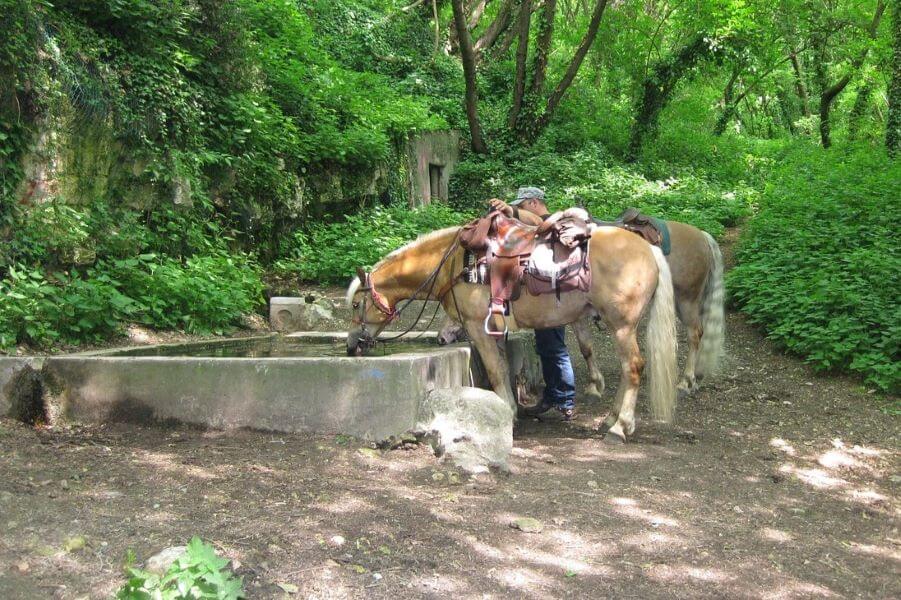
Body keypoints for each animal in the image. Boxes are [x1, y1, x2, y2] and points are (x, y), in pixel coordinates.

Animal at [348, 221, 680, 440]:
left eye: (355, 305)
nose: (352, 346)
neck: (456, 265)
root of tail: (648, 248)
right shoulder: (494, 331)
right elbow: (502, 367)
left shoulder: (477, 327)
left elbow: (495, 371)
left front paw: (507, 411)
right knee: (627, 370)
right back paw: (610, 419)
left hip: (622, 325)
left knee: (633, 367)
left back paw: (621, 427)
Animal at [432, 220, 720, 404]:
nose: (440, 337)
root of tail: (703, 235)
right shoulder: (578, 315)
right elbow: (586, 347)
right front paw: (595, 385)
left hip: (685, 300)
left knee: (694, 335)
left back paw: (686, 381)